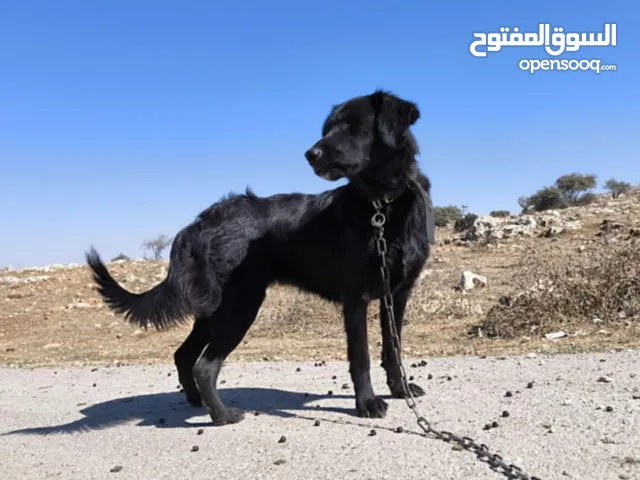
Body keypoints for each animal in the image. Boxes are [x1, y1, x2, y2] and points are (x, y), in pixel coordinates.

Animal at [86, 89, 436, 424]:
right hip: (238, 307)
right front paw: (366, 403)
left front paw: (400, 389)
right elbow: (361, 356)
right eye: (327, 129)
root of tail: (200, 223)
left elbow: (393, 349)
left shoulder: (397, 295)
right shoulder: (355, 299)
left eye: (353, 126)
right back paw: (222, 416)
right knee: (204, 366)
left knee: (184, 355)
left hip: (214, 310)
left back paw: (198, 401)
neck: (382, 204)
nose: (311, 154)